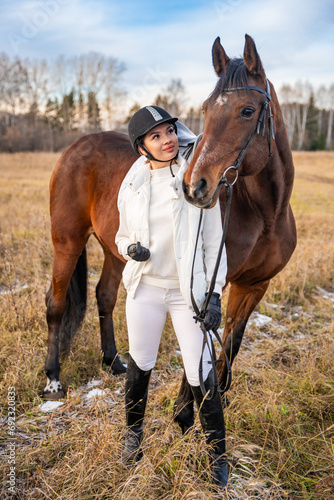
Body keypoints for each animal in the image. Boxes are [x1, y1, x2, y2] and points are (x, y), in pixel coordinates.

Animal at [41, 33, 294, 440]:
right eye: (205, 109)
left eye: (247, 111)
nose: (196, 186)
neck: (264, 212)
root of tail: (78, 144)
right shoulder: (205, 285)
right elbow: (201, 353)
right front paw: (185, 414)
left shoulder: (255, 286)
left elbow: (230, 344)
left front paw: (215, 399)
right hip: (67, 241)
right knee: (56, 304)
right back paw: (52, 379)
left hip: (118, 250)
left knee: (105, 296)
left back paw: (114, 361)